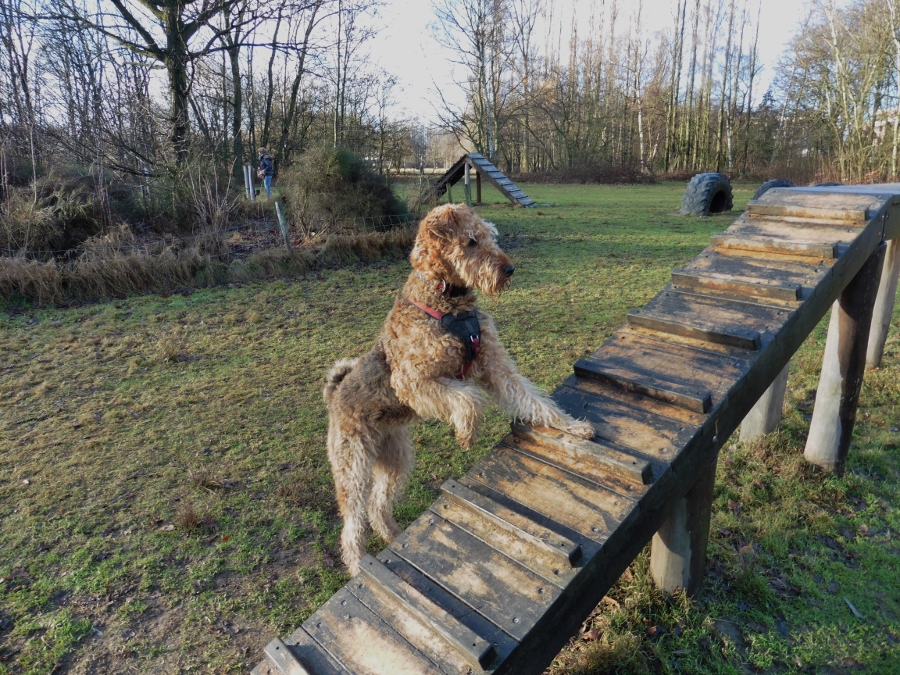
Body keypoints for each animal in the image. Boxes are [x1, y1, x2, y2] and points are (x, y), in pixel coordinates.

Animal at [323, 203, 595, 574]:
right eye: (470, 241)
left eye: (489, 236)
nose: (509, 269)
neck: (447, 301)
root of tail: (335, 396)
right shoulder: (413, 382)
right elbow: (468, 398)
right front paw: (466, 434)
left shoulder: (495, 366)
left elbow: (534, 400)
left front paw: (573, 427)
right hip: (354, 468)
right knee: (351, 528)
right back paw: (358, 567)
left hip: (395, 460)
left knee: (378, 506)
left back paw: (392, 535)